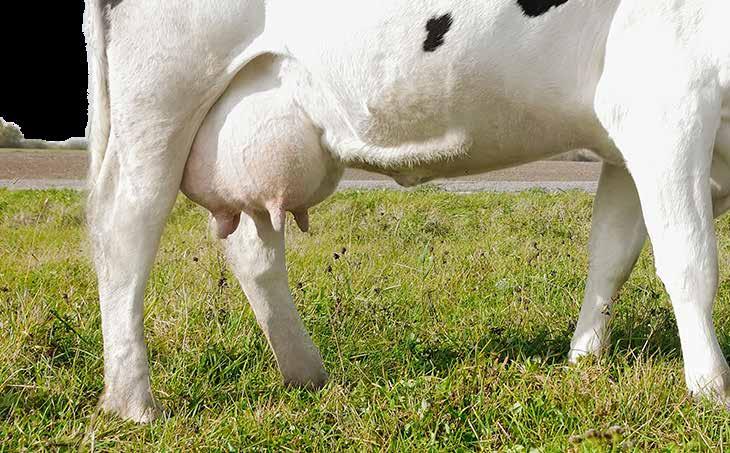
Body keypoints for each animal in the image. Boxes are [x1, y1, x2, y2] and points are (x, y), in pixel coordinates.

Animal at [82, 0, 728, 424]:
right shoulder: (666, 99)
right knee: (123, 226)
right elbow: (689, 260)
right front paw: (711, 386)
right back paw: (133, 402)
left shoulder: (625, 140)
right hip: (162, 93)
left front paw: (584, 360)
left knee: (251, 246)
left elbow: (612, 255)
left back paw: (306, 374)